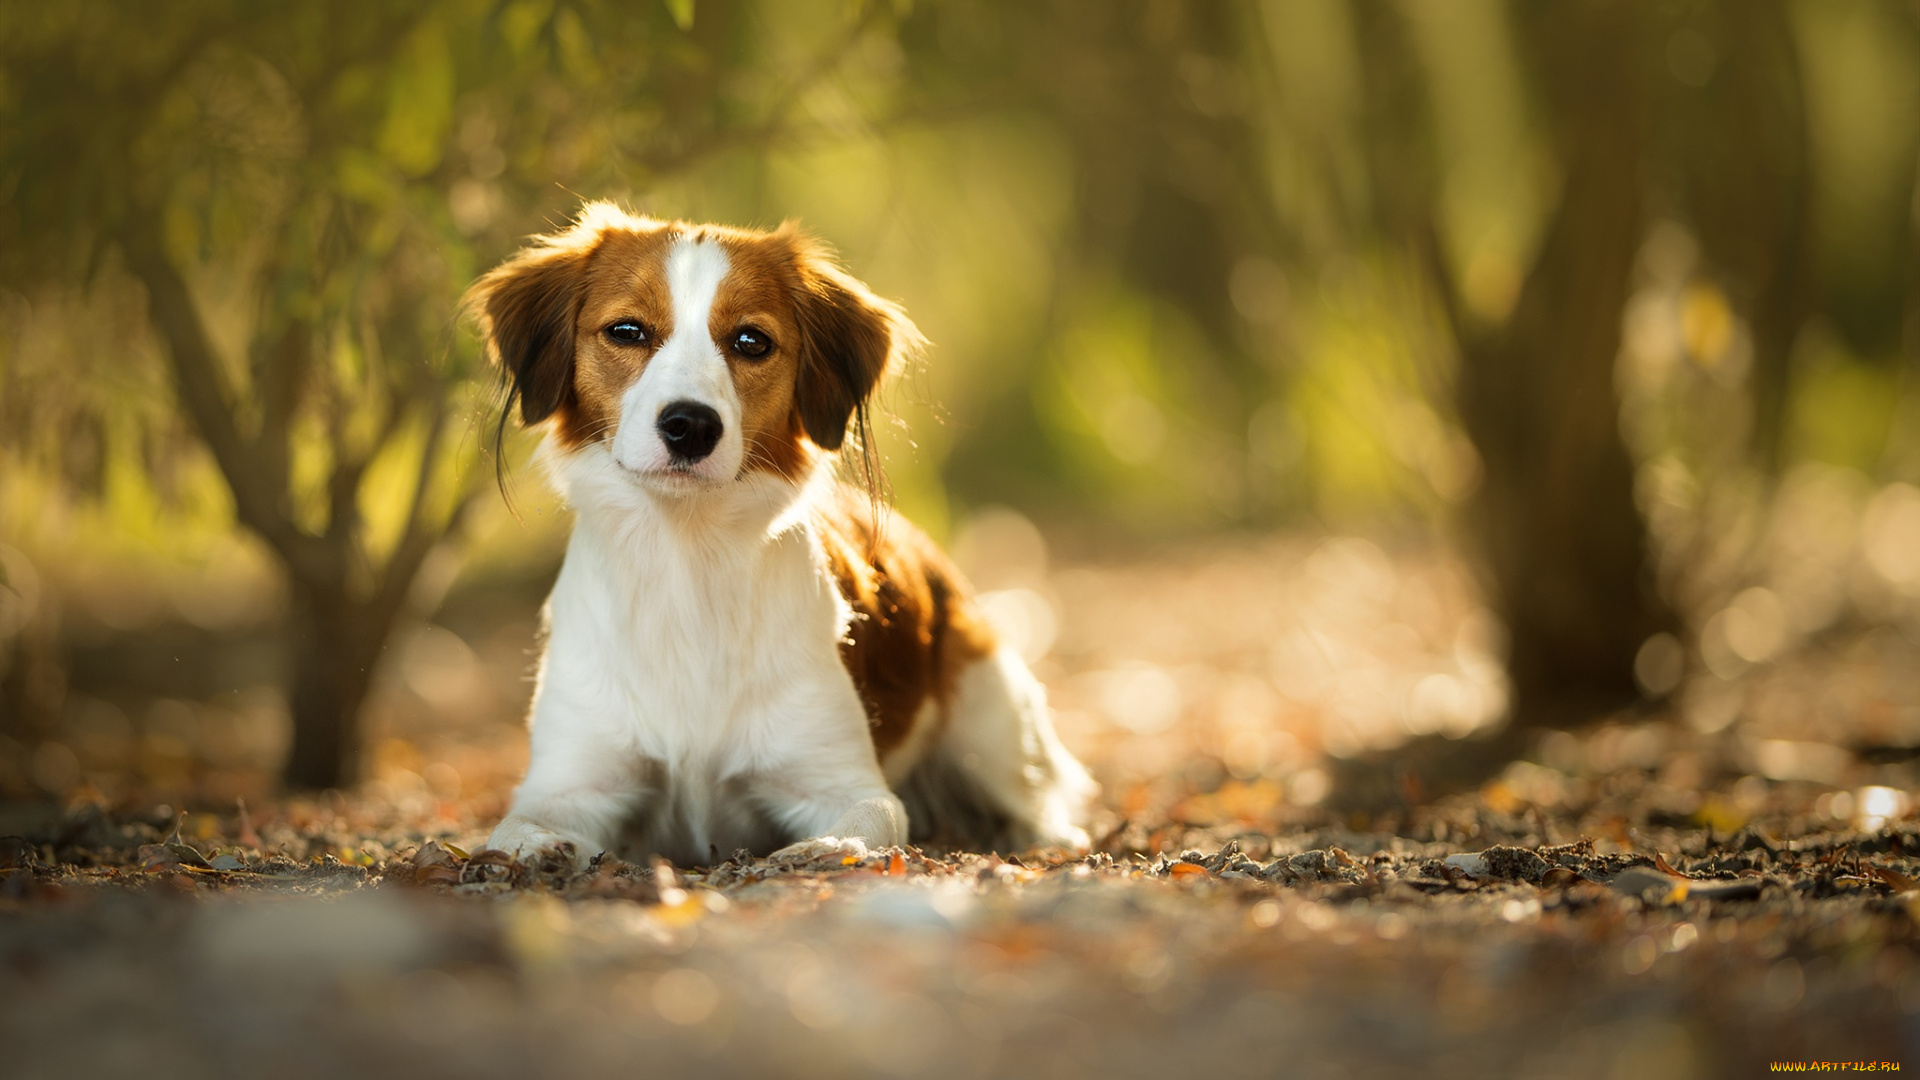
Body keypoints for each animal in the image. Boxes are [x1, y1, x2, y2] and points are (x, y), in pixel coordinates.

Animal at [462, 203, 1098, 864]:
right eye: (627, 331)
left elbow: (869, 818)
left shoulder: (841, 779)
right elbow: (515, 828)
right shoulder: (572, 782)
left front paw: (827, 847)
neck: (687, 564)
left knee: (1040, 801)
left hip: (991, 718)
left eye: (751, 341)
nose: (690, 425)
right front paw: (539, 849)